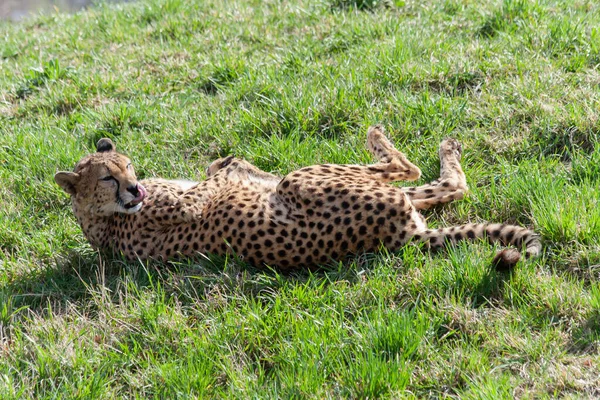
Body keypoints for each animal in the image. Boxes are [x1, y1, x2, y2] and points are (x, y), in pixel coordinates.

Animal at [56, 125, 540, 270]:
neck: (100, 220)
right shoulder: (183, 207)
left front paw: (234, 165)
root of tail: (404, 238)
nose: (134, 188)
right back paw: (378, 135)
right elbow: (215, 180)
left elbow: (215, 172)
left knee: (445, 185)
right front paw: (233, 166)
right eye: (107, 178)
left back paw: (446, 149)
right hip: (306, 179)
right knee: (408, 168)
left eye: (127, 166)